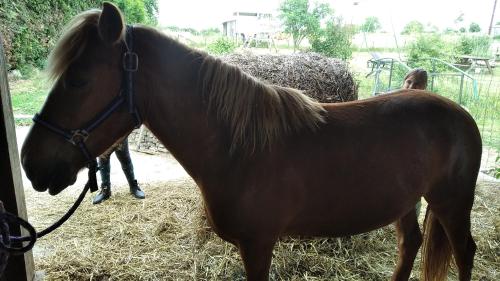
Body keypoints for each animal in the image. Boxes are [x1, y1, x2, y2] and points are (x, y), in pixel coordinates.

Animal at [21, 2, 482, 280]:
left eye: (79, 80)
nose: (29, 162)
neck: (238, 150)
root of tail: (458, 112)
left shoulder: (258, 245)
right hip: (408, 202)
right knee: (410, 244)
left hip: (452, 203)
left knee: (465, 252)